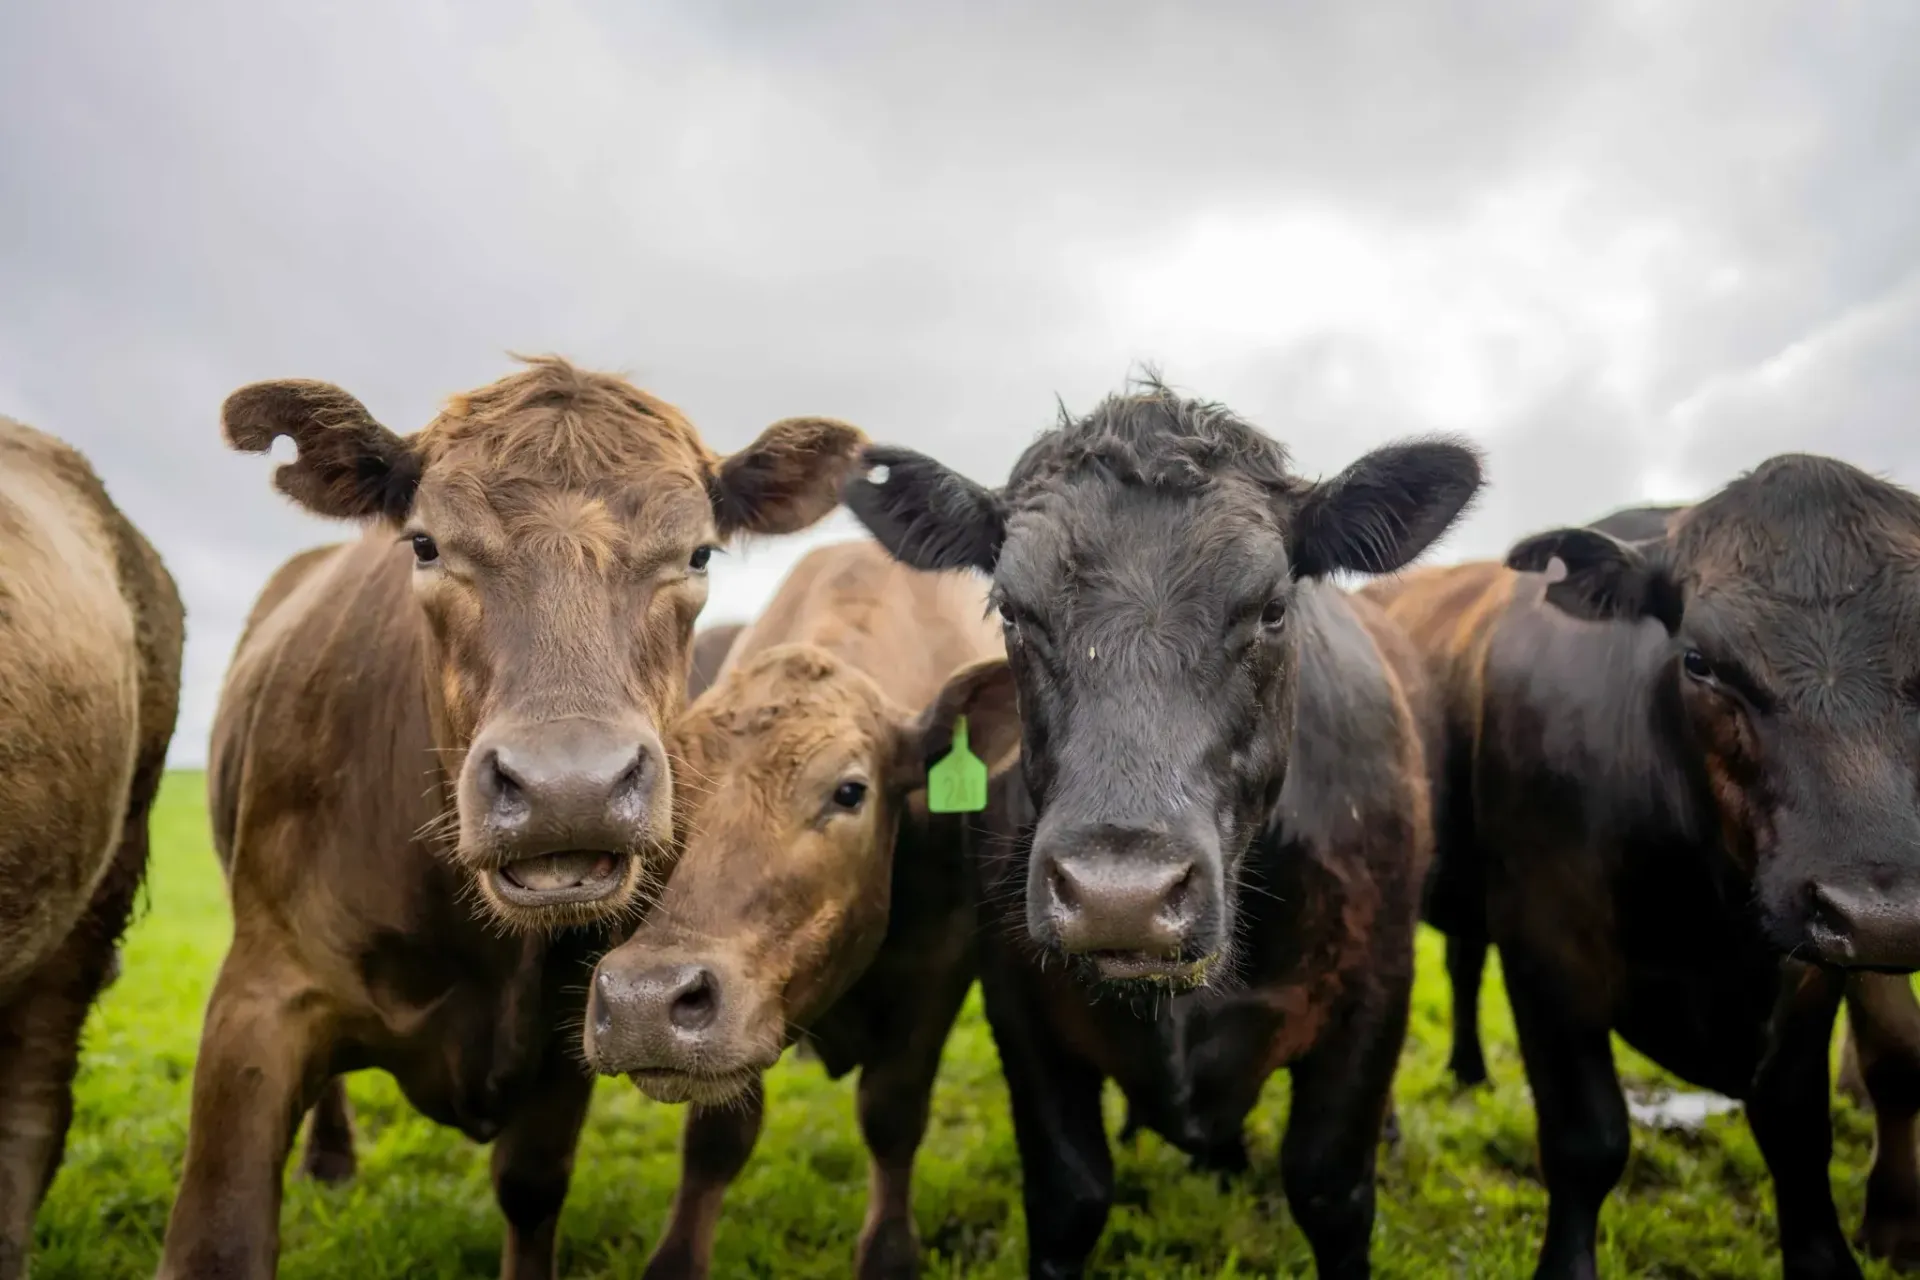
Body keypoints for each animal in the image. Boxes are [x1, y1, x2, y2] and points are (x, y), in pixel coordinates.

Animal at [155, 356, 866, 1280]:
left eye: (699, 552)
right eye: (425, 544)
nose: (572, 786)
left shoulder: (579, 1016)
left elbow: (530, 1187)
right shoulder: (259, 996)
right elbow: (219, 1238)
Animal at [583, 539, 1020, 1279]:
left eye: (850, 791)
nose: (645, 1001)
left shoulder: (942, 968)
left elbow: (892, 1113)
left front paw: (889, 1252)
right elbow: (717, 1138)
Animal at [841, 378, 1483, 1278]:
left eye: (1273, 609)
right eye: (1013, 612)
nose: (1123, 897)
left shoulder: (1376, 986)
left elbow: (1331, 1189)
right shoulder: (1018, 1001)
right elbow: (1069, 1194)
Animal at [1366, 454, 1920, 1279]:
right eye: (1698, 662)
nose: (1882, 916)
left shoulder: (1810, 966)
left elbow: (1798, 1132)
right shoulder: (1546, 940)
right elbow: (1588, 1142)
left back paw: (1469, 1071)